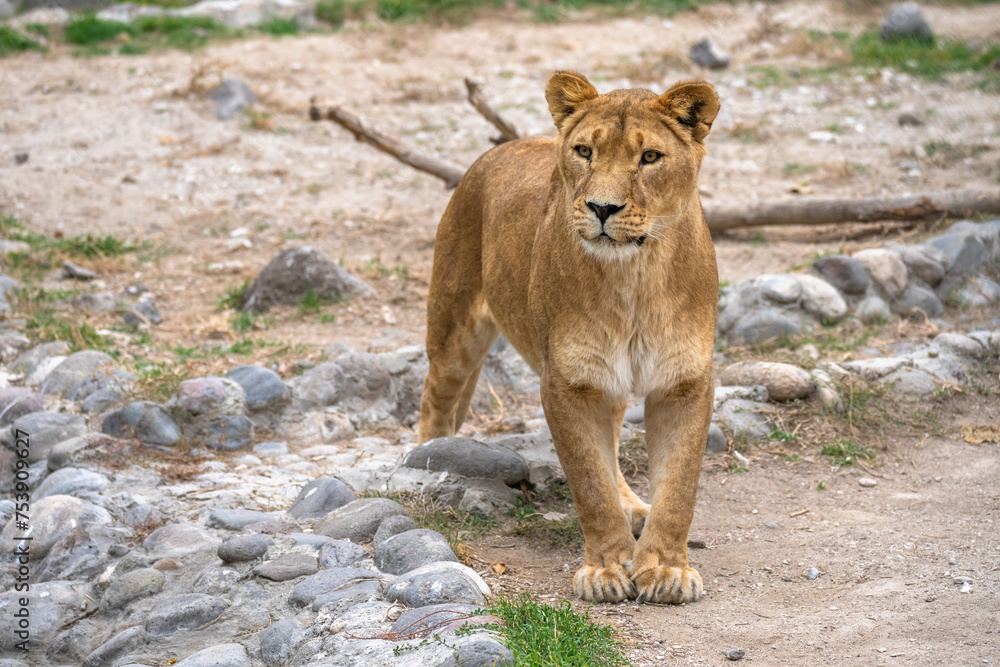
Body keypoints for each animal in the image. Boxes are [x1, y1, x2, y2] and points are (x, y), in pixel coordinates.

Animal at [418, 71, 720, 604]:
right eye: (584, 151)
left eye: (649, 157)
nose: (601, 207)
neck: (634, 276)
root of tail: (501, 147)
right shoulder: (567, 383)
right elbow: (589, 482)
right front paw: (605, 569)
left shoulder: (684, 382)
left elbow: (679, 487)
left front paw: (666, 568)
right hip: (454, 324)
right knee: (436, 397)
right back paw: (423, 461)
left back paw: (633, 506)